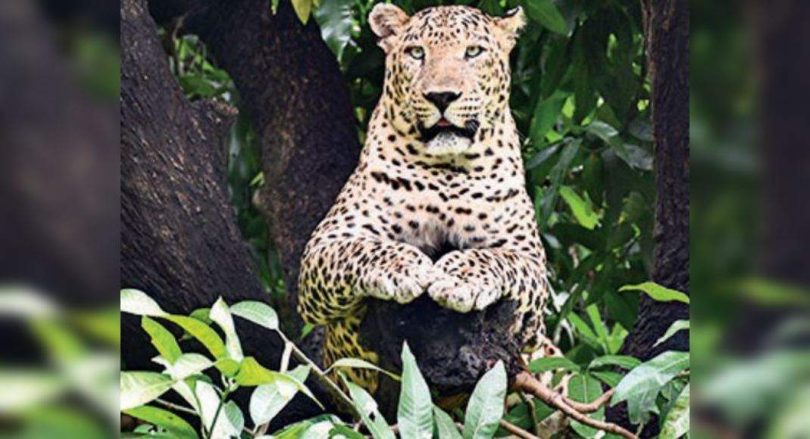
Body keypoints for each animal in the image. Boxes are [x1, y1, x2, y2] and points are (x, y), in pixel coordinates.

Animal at [297, 3, 550, 392]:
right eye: (417, 53)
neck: (447, 166)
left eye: (473, 51)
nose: (442, 96)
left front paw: (457, 277)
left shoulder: (530, 262)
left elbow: (496, 258)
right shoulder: (327, 243)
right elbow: (363, 248)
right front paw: (406, 267)